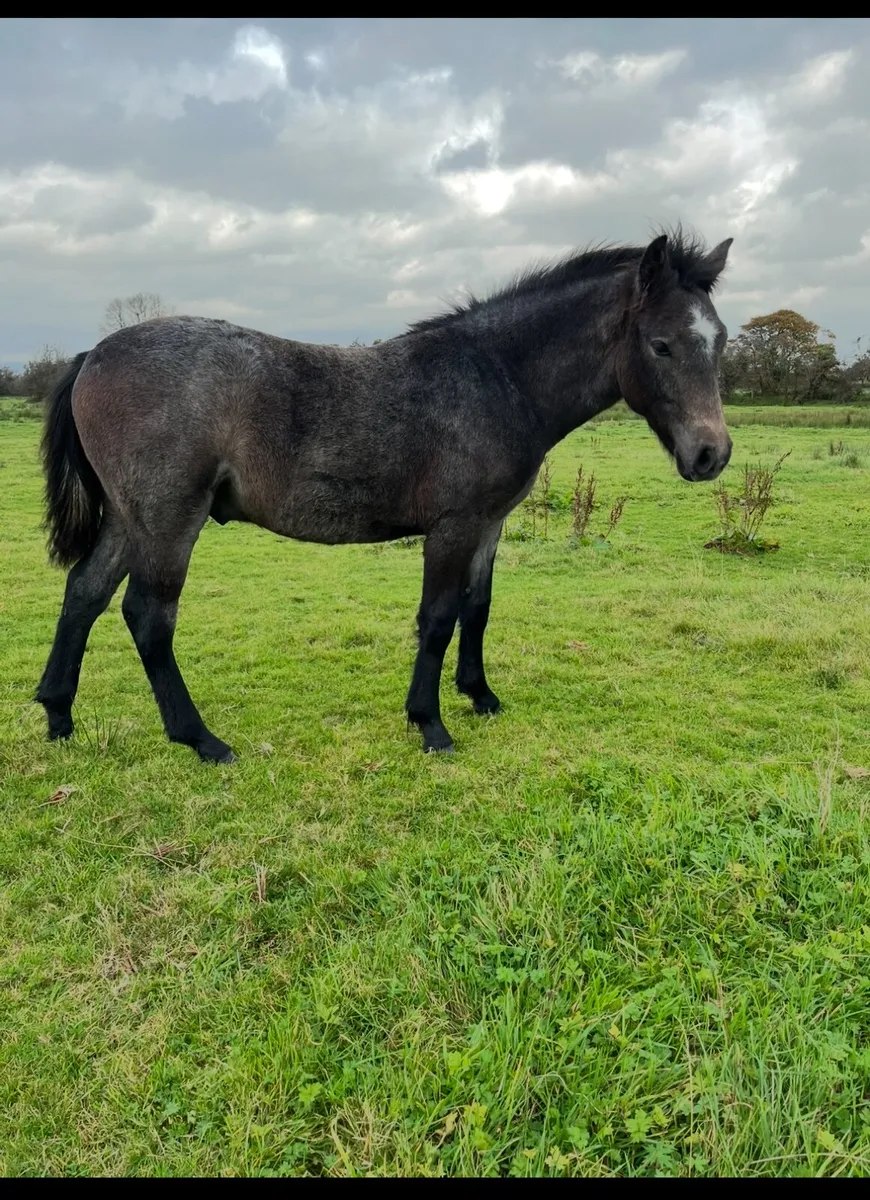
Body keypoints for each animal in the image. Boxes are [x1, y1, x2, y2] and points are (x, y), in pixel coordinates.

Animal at [36, 230, 734, 763]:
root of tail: (95, 354)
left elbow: (478, 608)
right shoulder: (452, 527)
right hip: (169, 519)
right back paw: (202, 739)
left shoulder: (488, 525)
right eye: (661, 344)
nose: (712, 454)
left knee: (84, 593)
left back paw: (58, 717)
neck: (496, 377)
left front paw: (481, 696)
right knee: (148, 617)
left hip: (130, 520)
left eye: (721, 339)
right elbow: (439, 618)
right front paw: (431, 724)